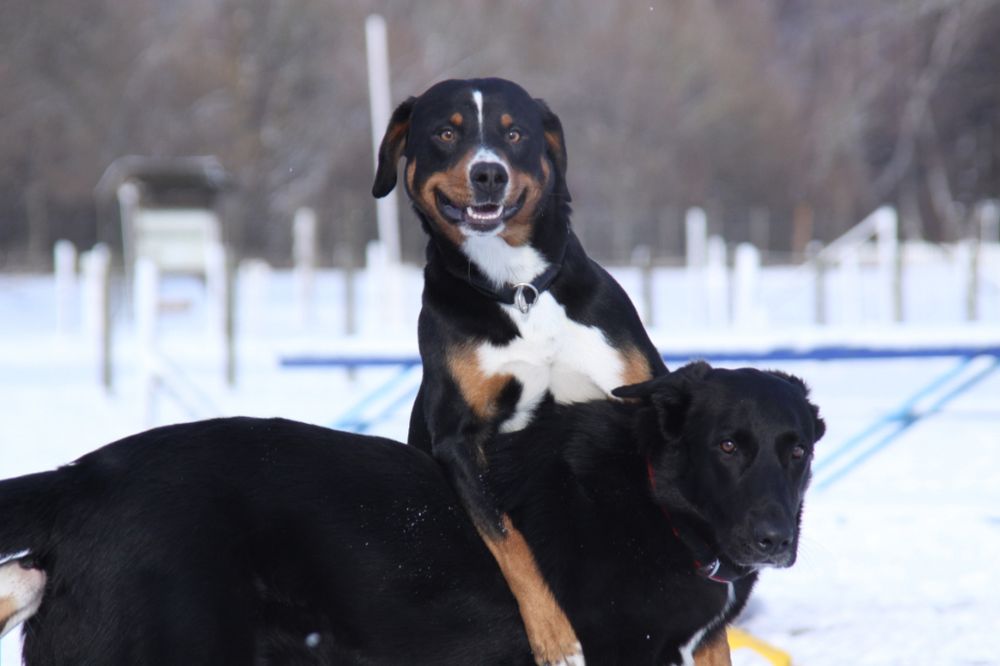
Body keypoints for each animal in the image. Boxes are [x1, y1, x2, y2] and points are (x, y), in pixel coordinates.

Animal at [372, 79, 668, 664]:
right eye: (446, 132)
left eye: (514, 133)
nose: (488, 173)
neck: (519, 289)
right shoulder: (458, 440)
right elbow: (510, 542)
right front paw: (556, 638)